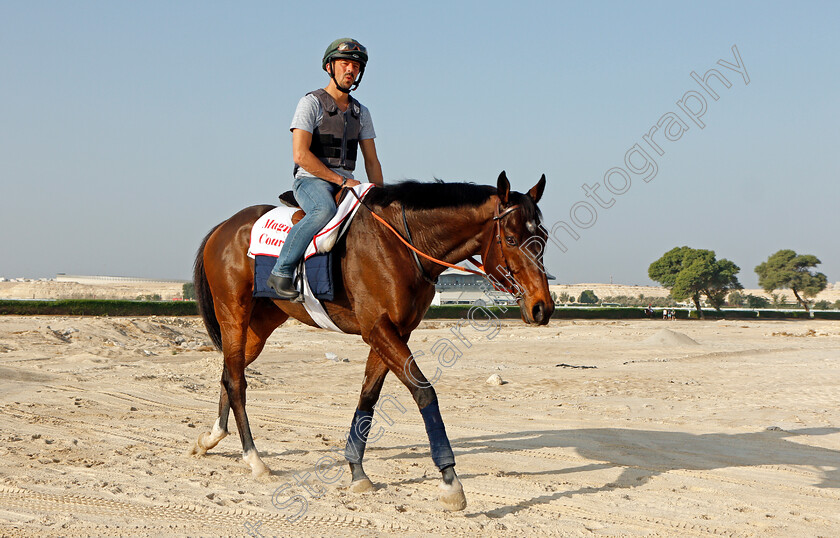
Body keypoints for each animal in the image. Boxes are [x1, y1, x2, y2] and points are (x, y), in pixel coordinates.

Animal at [192, 171, 556, 506]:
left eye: (543, 236)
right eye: (512, 239)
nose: (542, 307)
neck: (401, 244)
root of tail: (224, 227)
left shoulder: (395, 330)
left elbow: (368, 396)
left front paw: (356, 471)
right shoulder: (378, 329)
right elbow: (424, 392)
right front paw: (450, 480)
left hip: (260, 326)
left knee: (229, 372)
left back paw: (212, 438)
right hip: (234, 315)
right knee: (237, 381)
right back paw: (254, 459)